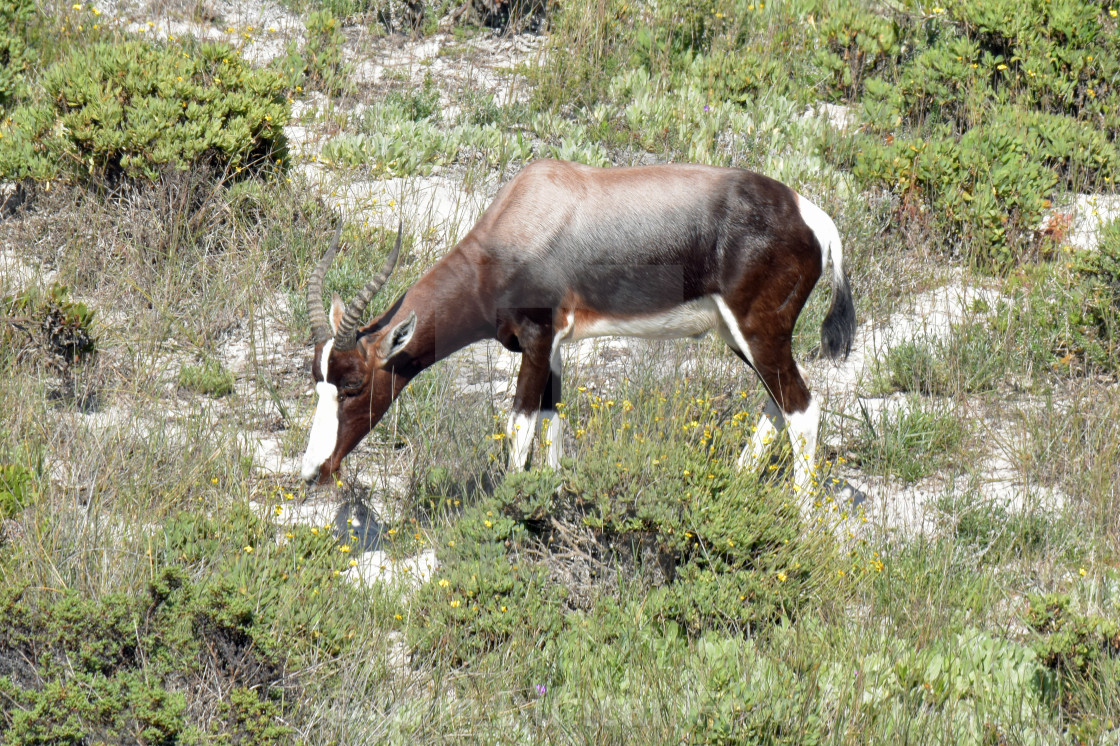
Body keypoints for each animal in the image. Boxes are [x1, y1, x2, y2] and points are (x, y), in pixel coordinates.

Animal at [302, 160, 851, 490]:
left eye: (352, 386)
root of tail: (814, 218)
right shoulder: (553, 348)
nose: (313, 471)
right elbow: (553, 423)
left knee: (802, 409)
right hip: (738, 336)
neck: (529, 211)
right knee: (778, 405)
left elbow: (519, 426)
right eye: (318, 383)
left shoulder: (536, 339)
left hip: (759, 332)